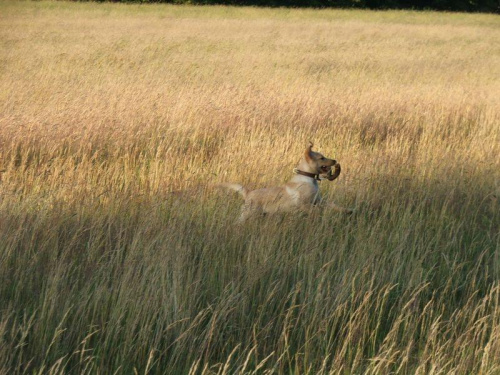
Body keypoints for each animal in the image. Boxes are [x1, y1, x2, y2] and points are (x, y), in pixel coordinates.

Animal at [219, 142, 352, 222]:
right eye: (322, 158)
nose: (335, 161)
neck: (308, 178)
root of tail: (248, 193)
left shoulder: (318, 201)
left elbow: (332, 204)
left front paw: (347, 210)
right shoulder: (305, 204)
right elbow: (316, 211)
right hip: (248, 214)